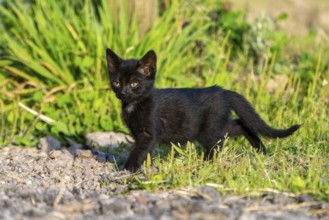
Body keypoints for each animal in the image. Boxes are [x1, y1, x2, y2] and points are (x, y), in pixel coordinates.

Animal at [105, 48, 300, 172]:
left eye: (134, 83)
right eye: (117, 83)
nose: (123, 92)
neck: (134, 105)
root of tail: (223, 91)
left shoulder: (148, 132)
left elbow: (139, 150)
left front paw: (128, 168)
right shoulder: (140, 134)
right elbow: (145, 151)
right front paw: (146, 166)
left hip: (209, 128)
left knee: (219, 140)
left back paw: (207, 162)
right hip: (216, 125)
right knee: (239, 124)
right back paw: (260, 149)